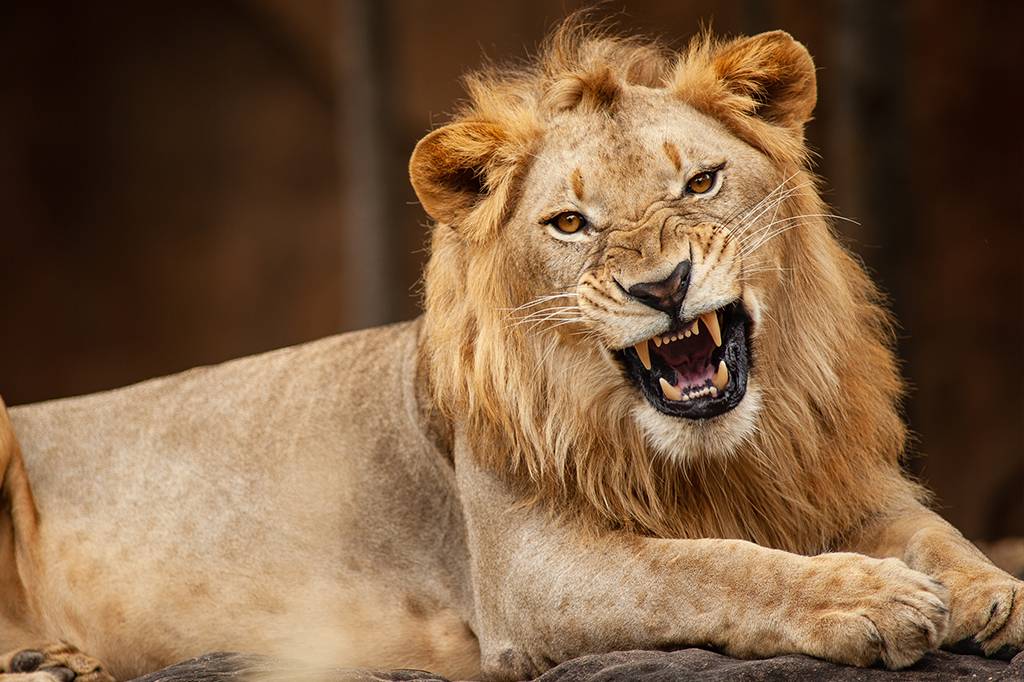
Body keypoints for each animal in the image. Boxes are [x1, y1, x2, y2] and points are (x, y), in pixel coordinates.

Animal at [0, 20, 1021, 682]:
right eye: (570, 223)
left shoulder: (835, 481)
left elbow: (934, 530)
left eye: (700, 181)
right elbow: (708, 567)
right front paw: (869, 601)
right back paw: (46, 659)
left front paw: (992, 595)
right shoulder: (526, 574)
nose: (663, 288)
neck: (713, 456)